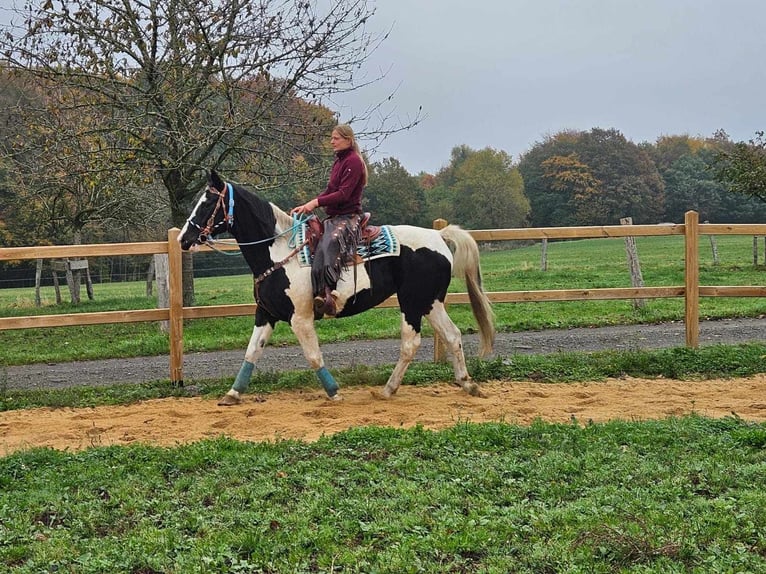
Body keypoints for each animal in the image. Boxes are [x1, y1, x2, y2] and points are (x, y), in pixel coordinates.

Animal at [177, 169, 496, 408]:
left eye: (207, 202)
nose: (183, 238)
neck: (278, 252)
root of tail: (439, 236)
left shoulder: (300, 318)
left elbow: (313, 355)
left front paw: (334, 392)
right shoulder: (266, 314)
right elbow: (251, 352)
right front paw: (232, 394)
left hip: (412, 303)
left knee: (411, 343)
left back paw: (387, 389)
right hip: (431, 302)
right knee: (452, 336)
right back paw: (467, 384)